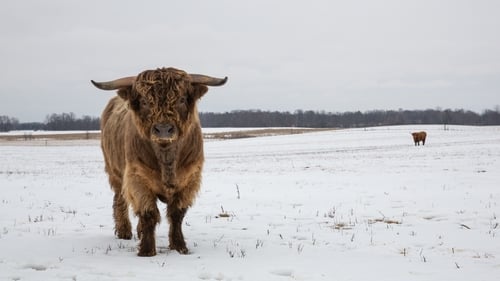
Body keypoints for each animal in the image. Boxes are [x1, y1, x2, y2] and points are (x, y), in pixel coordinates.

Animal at [91, 66, 228, 255]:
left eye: (182, 99)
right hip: (115, 172)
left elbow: (176, 214)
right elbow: (148, 213)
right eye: (145, 102)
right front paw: (147, 250)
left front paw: (179, 246)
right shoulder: (137, 178)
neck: (167, 159)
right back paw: (124, 231)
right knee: (120, 198)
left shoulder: (189, 179)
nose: (163, 130)